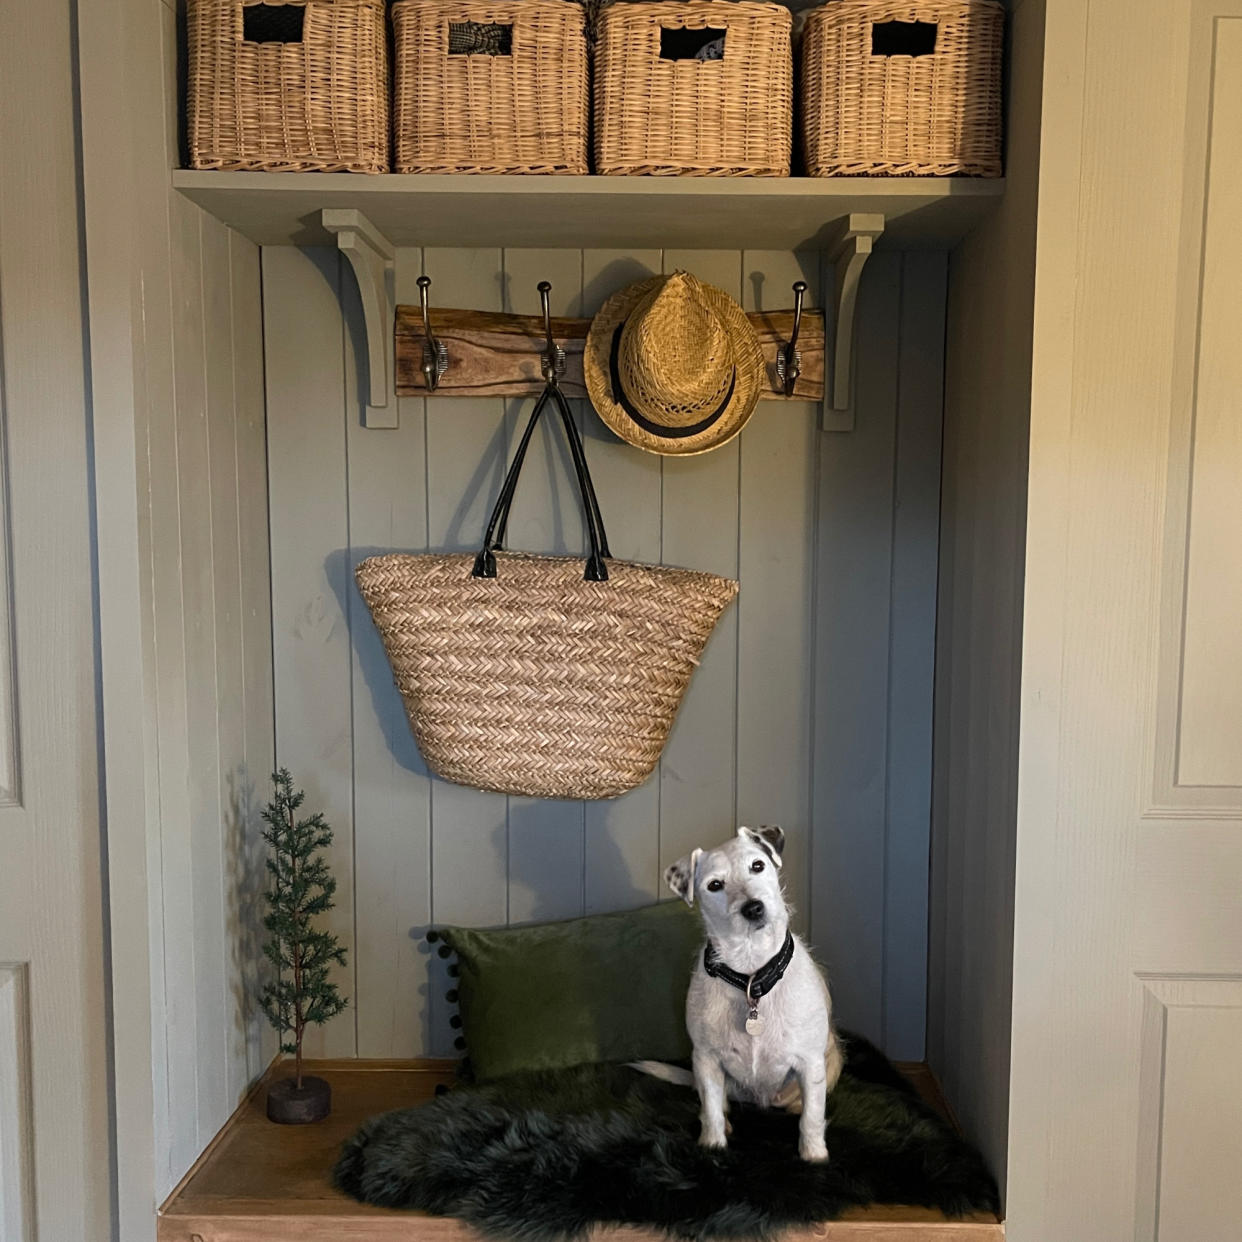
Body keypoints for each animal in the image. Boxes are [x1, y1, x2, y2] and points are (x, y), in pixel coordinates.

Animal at [650, 824, 844, 1162]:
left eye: (757, 865)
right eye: (715, 885)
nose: (753, 908)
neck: (751, 976)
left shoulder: (810, 1063)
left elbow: (812, 1116)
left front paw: (814, 1156)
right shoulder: (706, 1059)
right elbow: (712, 1109)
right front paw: (712, 1145)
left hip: (833, 1057)